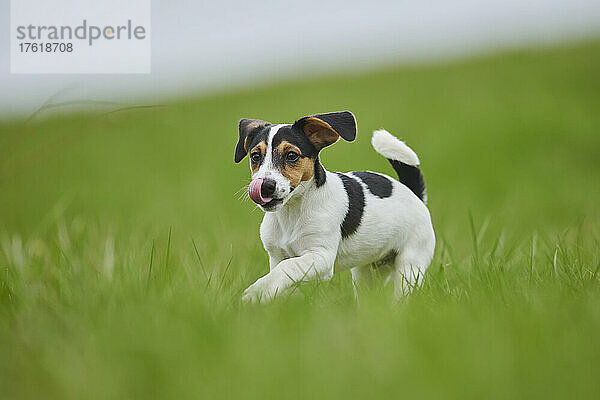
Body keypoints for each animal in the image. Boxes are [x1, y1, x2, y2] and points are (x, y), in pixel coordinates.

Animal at [236, 111, 436, 302]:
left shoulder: (321, 257)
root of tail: (413, 193)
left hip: (410, 265)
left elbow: (289, 266)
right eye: (255, 156)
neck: (292, 212)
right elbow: (283, 277)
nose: (265, 186)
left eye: (291, 155)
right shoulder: (276, 256)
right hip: (367, 273)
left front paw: (258, 291)